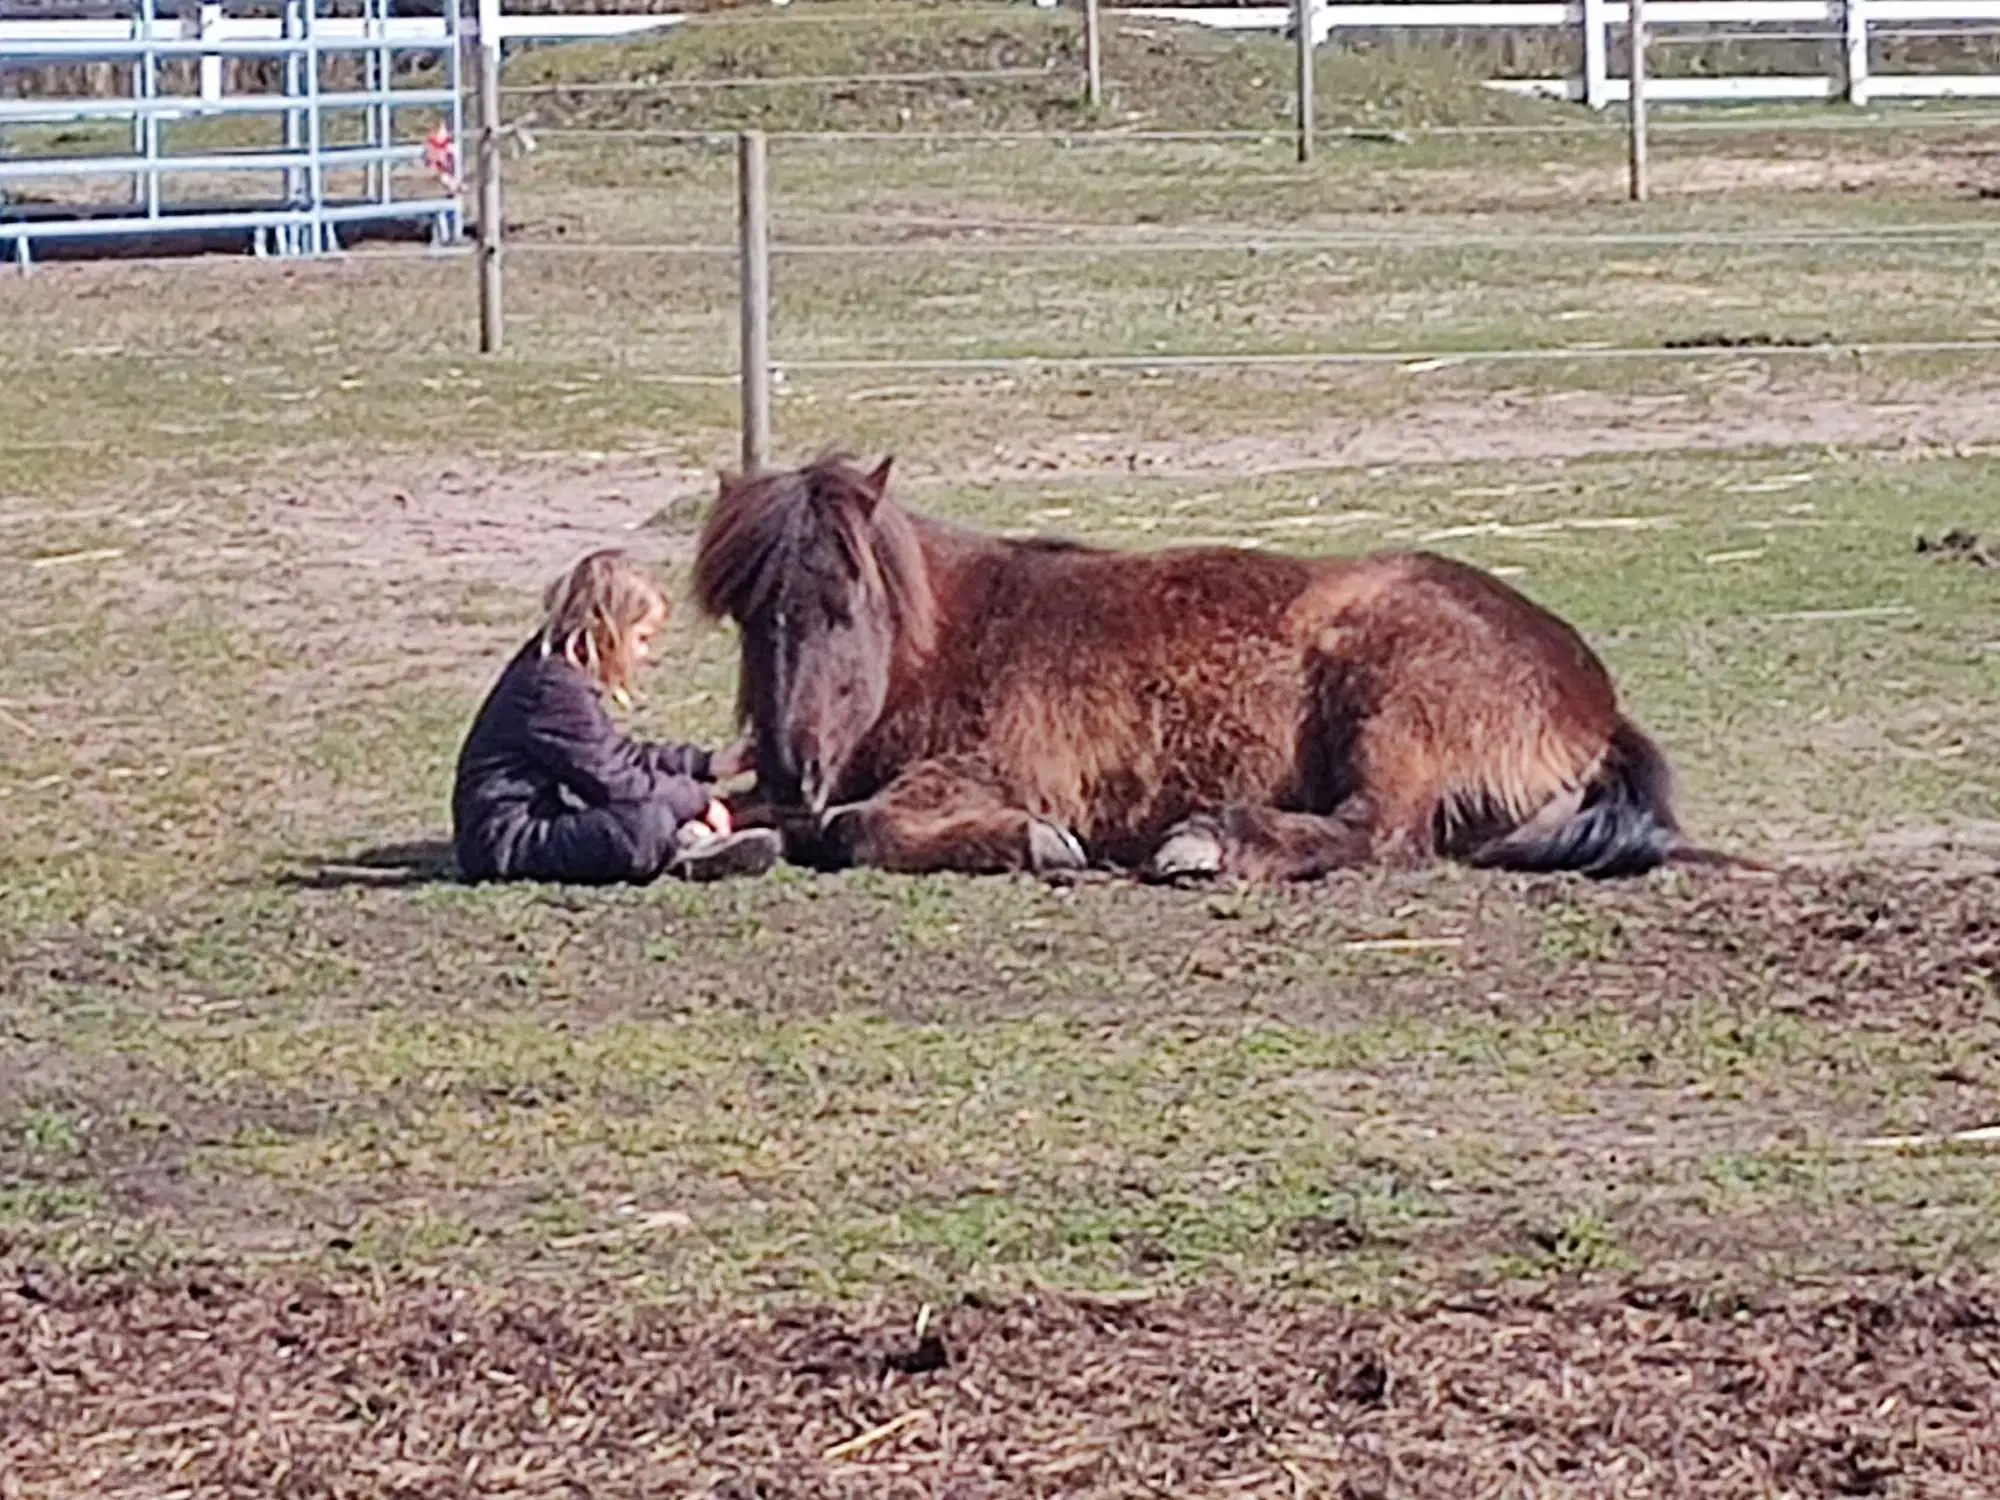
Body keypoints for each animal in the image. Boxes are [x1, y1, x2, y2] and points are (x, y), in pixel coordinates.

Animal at [692, 452, 1752, 888]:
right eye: (747, 617)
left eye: (846, 602)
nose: (790, 760)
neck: (964, 635)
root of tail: (1591, 695)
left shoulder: (996, 769)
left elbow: (860, 826)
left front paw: (1038, 843)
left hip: (1391, 709)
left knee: (1377, 833)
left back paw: (1205, 843)